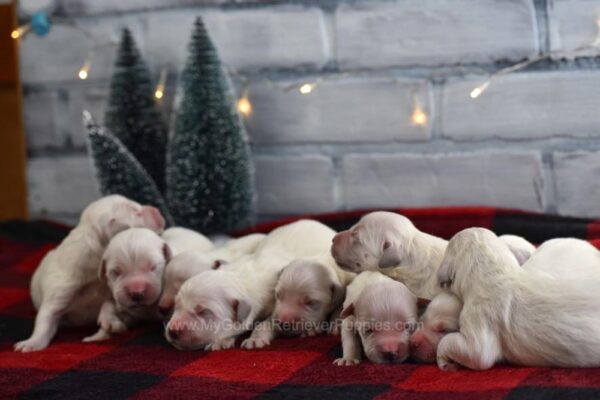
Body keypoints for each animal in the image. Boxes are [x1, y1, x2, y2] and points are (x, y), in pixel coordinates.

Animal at [14, 195, 164, 352]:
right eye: (136, 212)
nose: (156, 210)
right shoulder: (60, 293)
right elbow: (45, 318)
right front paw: (32, 342)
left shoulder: (111, 292)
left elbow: (109, 305)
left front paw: (109, 321)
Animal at [164, 220, 338, 352]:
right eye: (176, 305)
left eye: (204, 312)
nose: (172, 331)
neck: (240, 278)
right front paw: (222, 340)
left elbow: (266, 322)